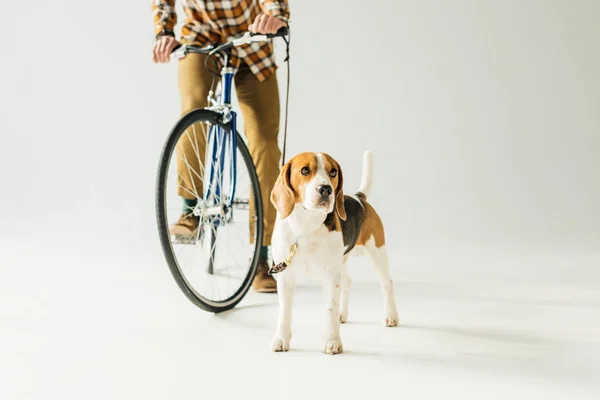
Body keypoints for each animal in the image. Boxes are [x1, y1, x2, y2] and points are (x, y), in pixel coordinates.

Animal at [268, 152, 398, 354]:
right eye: (305, 170)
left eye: (333, 172)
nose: (326, 189)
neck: (306, 226)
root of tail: (359, 198)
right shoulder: (285, 277)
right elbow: (285, 312)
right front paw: (281, 339)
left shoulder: (330, 275)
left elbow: (330, 309)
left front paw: (333, 341)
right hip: (341, 262)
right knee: (348, 281)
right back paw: (342, 314)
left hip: (377, 253)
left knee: (387, 283)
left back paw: (391, 315)